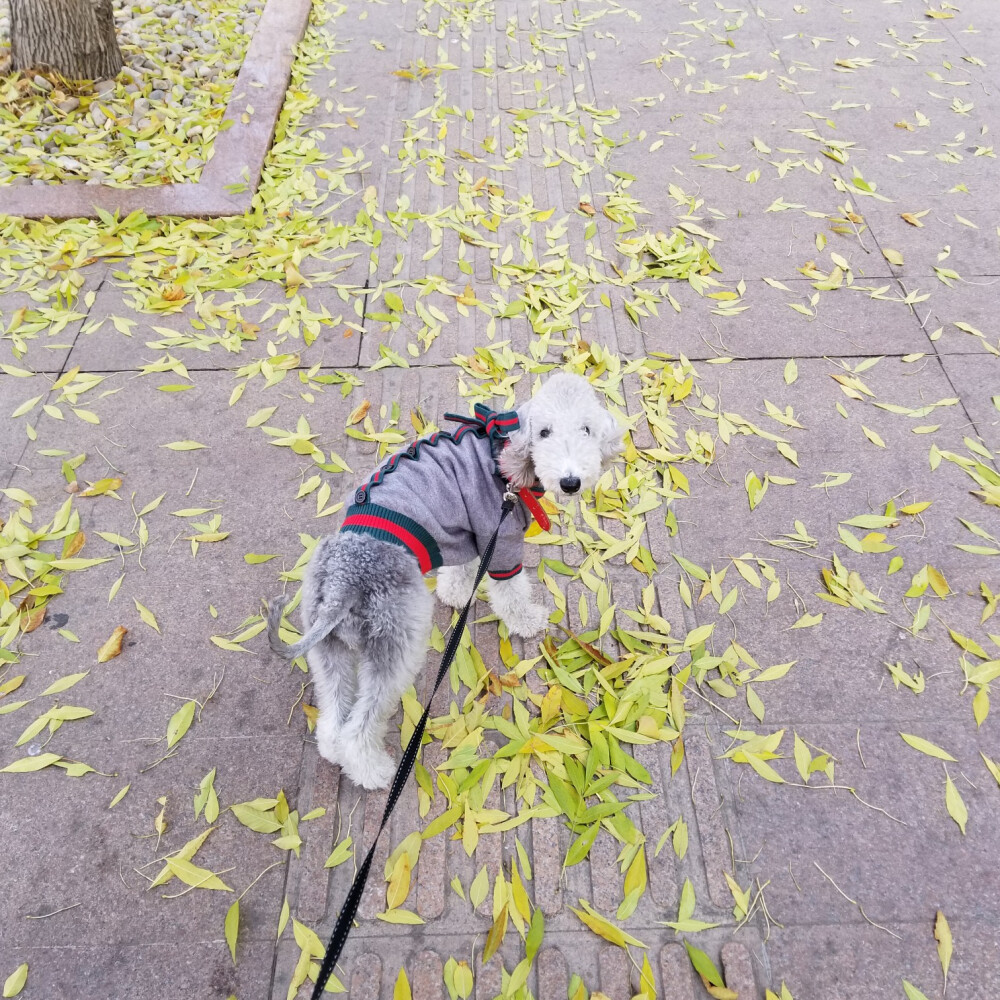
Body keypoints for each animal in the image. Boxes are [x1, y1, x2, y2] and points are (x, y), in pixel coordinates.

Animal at [266, 374, 624, 788]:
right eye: (544, 432)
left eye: (587, 430)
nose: (570, 482)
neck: (502, 453)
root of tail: (345, 579)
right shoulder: (499, 535)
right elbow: (510, 591)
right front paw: (527, 621)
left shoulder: (465, 532)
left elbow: (461, 569)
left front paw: (455, 594)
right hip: (396, 646)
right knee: (358, 729)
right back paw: (374, 771)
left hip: (330, 652)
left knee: (333, 721)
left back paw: (334, 750)